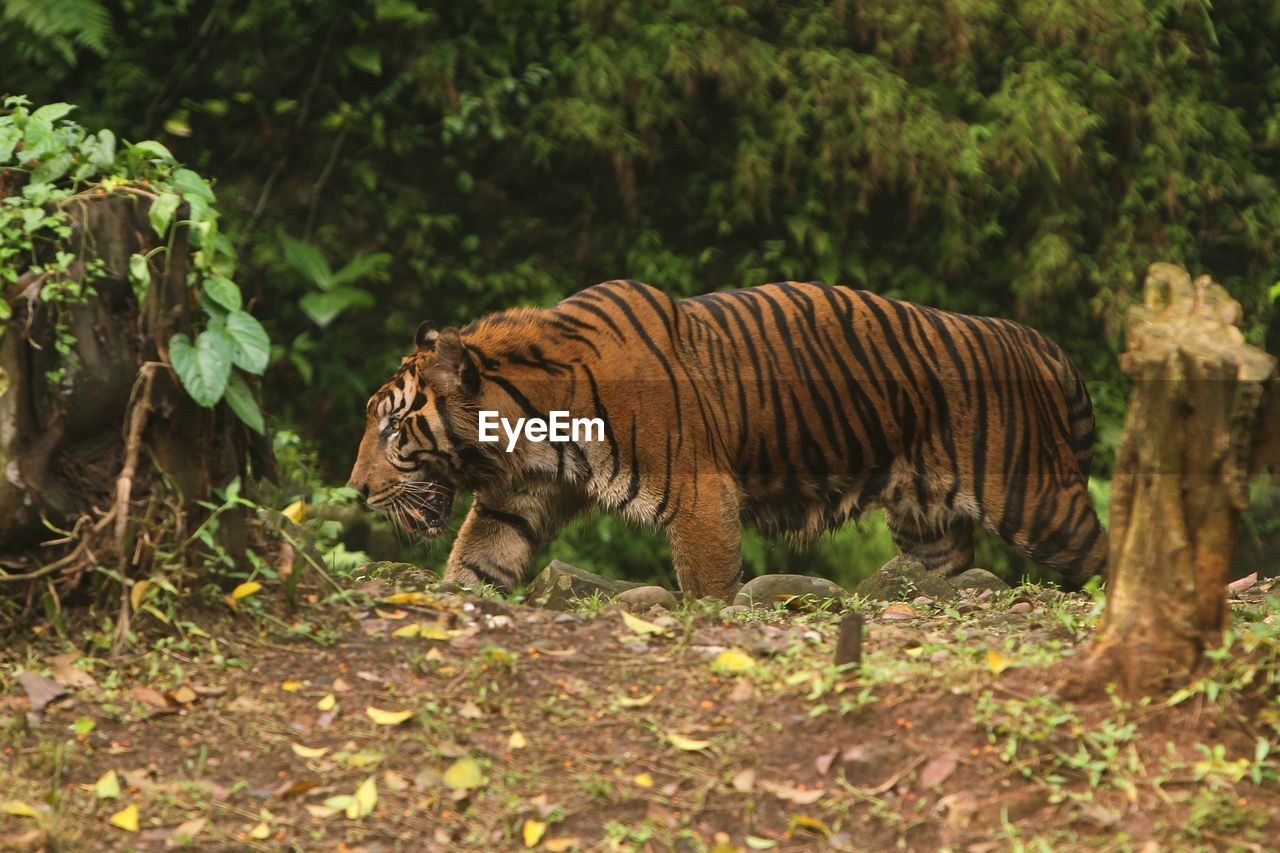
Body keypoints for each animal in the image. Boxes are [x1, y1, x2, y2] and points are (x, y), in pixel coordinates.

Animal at [345, 279, 1105, 596]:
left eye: (392, 427)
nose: (352, 489)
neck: (529, 429)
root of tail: (1031, 338)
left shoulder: (700, 493)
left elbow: (708, 584)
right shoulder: (520, 495)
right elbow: (479, 559)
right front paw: (453, 600)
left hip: (1037, 497)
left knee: (1104, 549)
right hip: (928, 523)